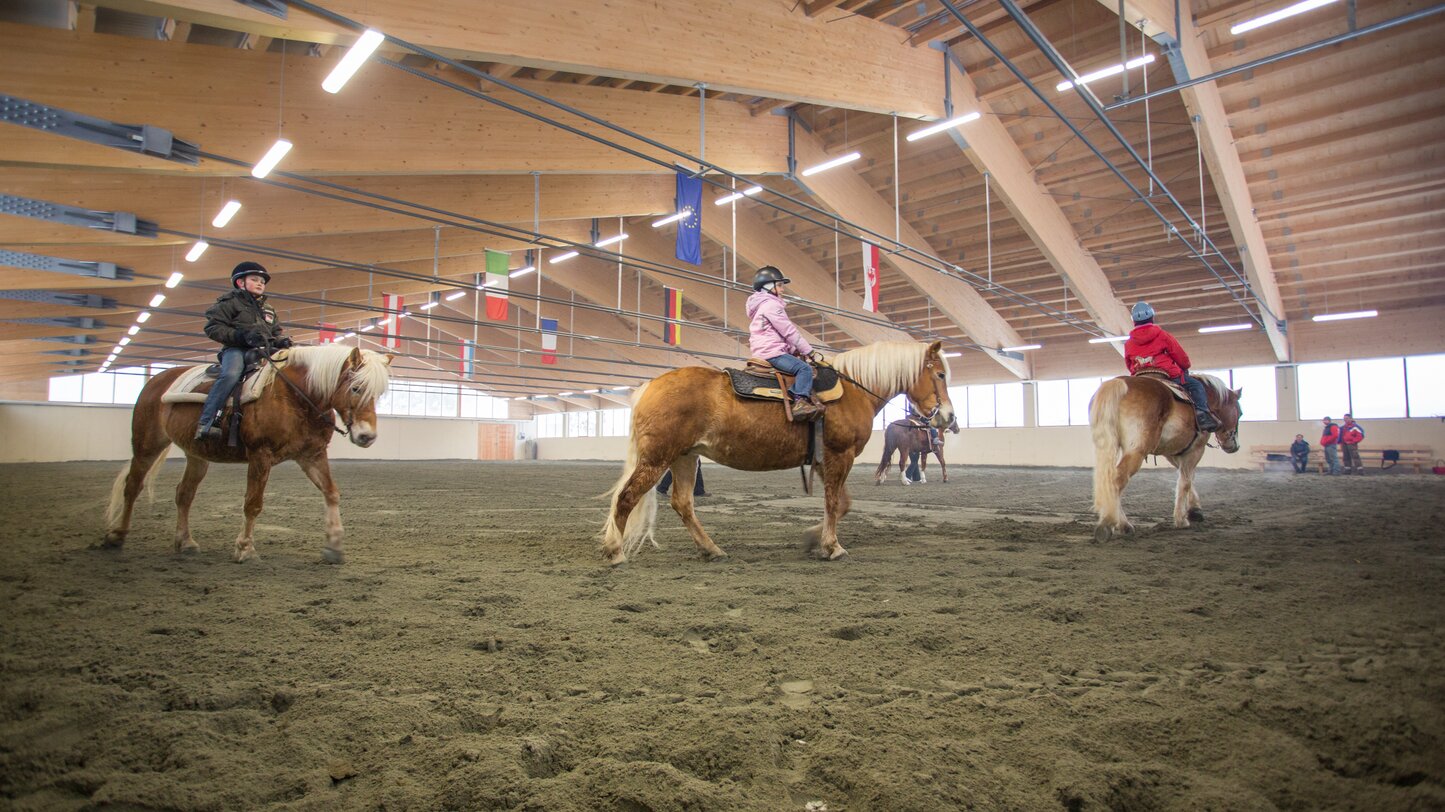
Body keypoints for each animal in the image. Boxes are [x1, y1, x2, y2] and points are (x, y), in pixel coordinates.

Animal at [102, 342, 393, 563]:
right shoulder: (260, 455)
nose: (367, 436)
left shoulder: (312, 455)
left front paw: (334, 546)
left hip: (196, 455)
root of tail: (157, 381)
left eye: (378, 393)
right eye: (355, 388)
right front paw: (245, 549)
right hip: (147, 445)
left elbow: (331, 493)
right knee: (132, 486)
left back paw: (185, 542)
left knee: (184, 494)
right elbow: (253, 504)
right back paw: (116, 535)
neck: (294, 396)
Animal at [601, 338, 959, 560]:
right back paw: (615, 550)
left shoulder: (823, 460)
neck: (853, 390)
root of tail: (649, 386)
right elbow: (834, 503)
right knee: (627, 498)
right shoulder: (839, 455)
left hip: (685, 458)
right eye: (940, 374)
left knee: (682, 503)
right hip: (657, 459)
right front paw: (832, 546)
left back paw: (711, 549)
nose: (949, 417)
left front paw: (814, 538)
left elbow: (841, 504)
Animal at [1086, 372, 1248, 537]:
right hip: (1137, 451)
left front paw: (1195, 509)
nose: (1234, 446)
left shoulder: (1172, 452)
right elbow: (1185, 481)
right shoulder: (1196, 449)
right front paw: (1181, 519)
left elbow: (1187, 477)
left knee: (1108, 480)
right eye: (1240, 413)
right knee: (1116, 481)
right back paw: (1111, 523)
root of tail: (1119, 383)